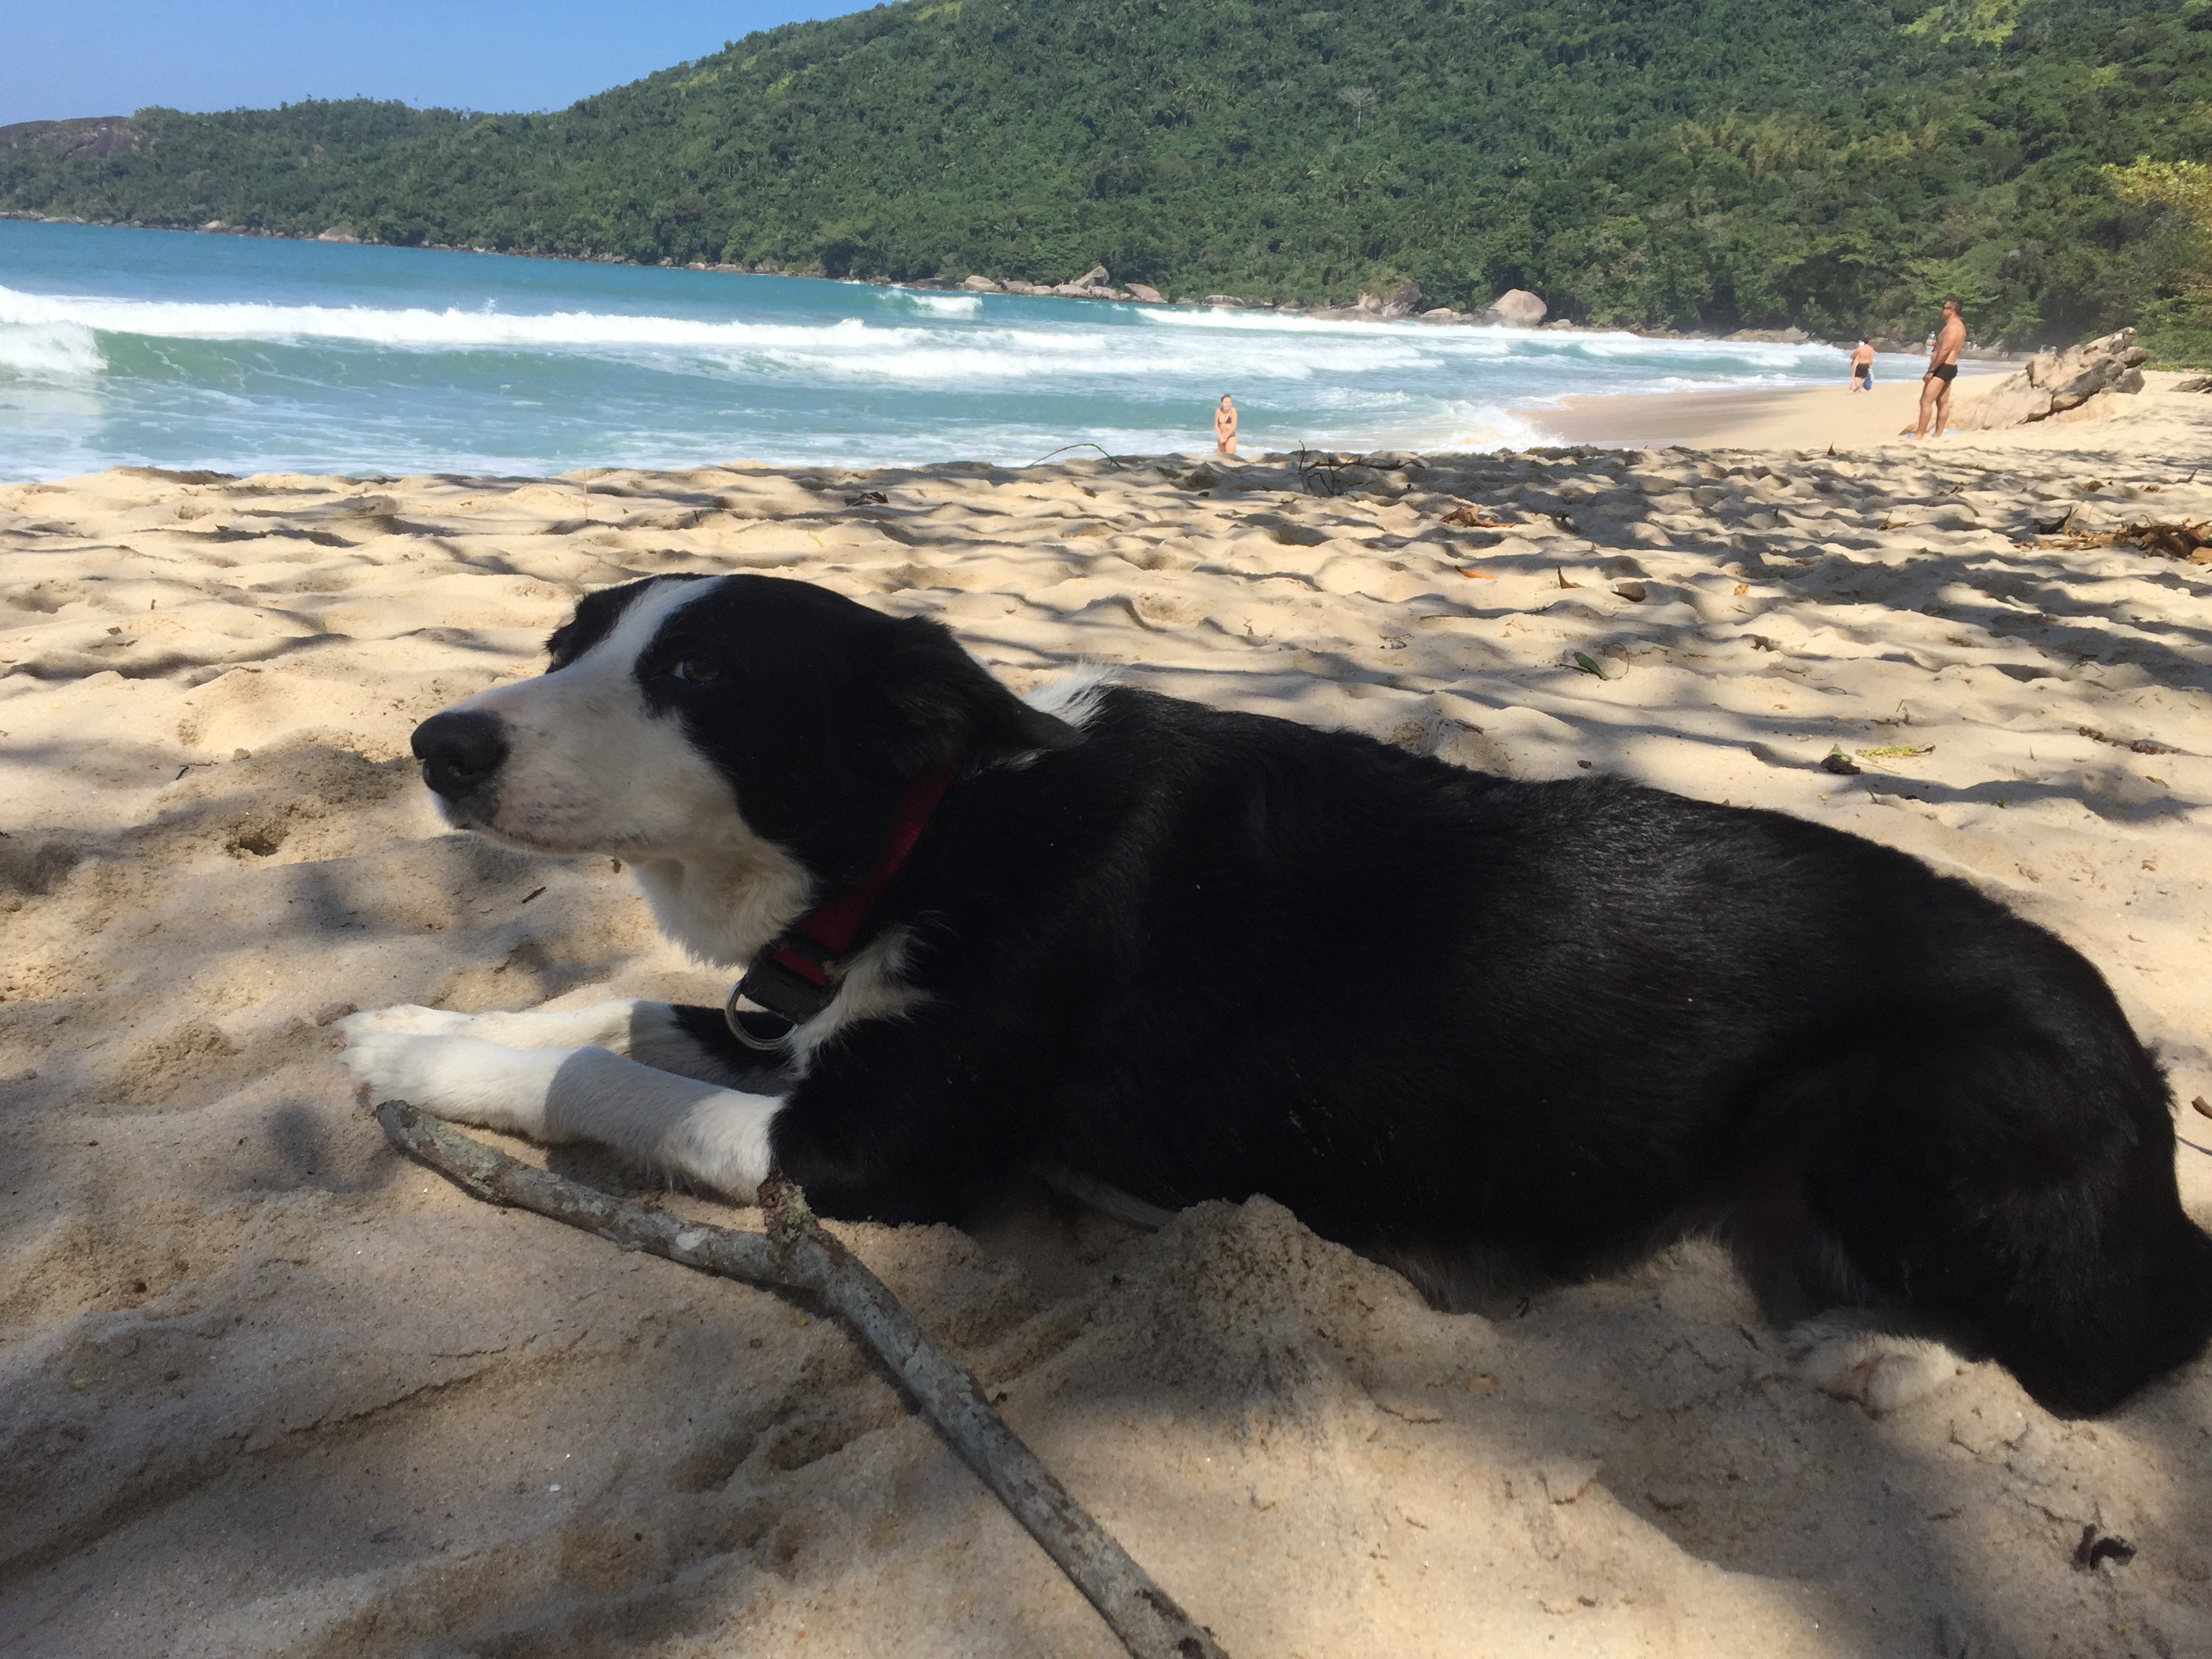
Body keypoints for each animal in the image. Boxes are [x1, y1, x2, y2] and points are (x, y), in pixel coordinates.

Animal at [342, 572, 2212, 1416]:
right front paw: (408, 1023)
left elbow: (614, 1081)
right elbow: (606, 1021)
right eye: (569, 638)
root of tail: (2146, 1111)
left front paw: (420, 1057)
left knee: (2112, 1352)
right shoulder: (796, 1027)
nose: (441, 743)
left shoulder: (878, 1151)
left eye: (699, 674)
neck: (941, 822)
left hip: (1923, 1093)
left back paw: (1890, 1360)